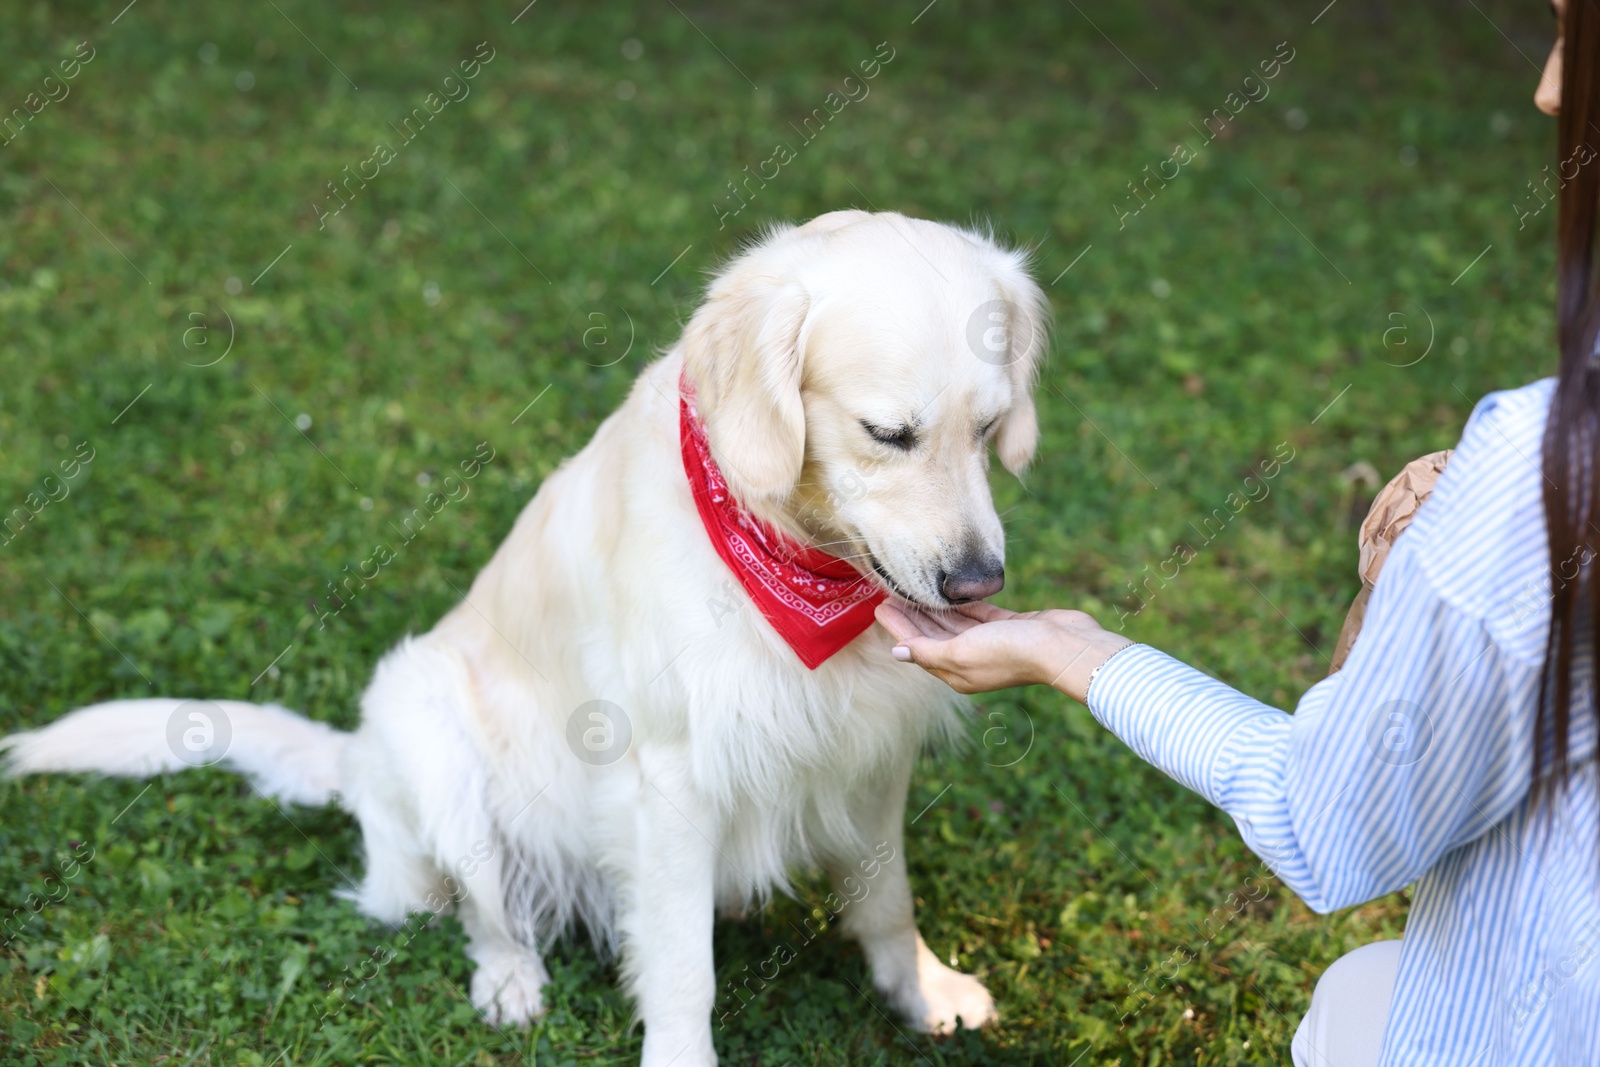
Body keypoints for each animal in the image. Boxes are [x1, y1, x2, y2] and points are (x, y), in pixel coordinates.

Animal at [3, 211, 1049, 1067]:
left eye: (990, 427)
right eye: (887, 433)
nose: (977, 582)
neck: (794, 559)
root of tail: (356, 759)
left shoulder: (870, 749)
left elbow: (886, 898)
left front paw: (923, 990)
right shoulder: (671, 777)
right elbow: (682, 970)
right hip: (427, 723)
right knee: (484, 910)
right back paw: (508, 979)